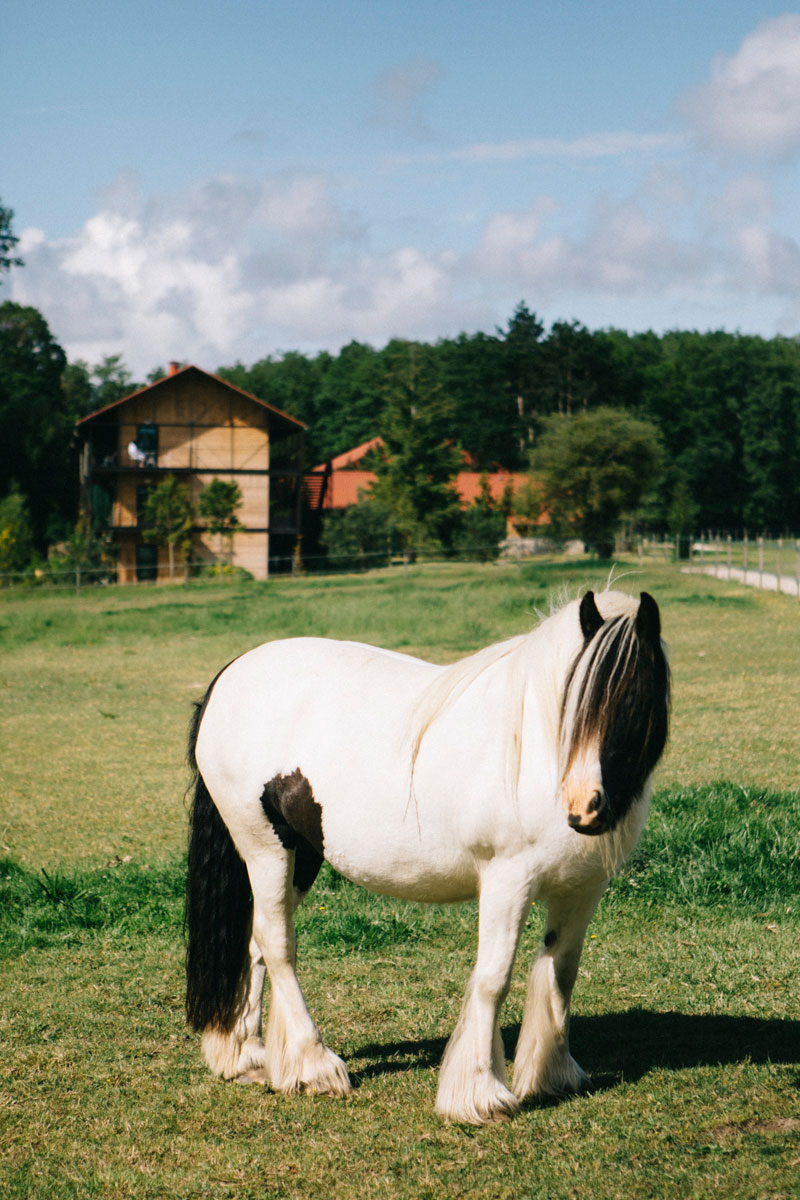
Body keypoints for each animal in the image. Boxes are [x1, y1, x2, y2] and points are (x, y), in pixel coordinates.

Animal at [184, 588, 669, 1124]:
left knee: (253, 942)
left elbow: (561, 972)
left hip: (299, 855)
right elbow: (493, 978)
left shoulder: (581, 890)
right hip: (266, 849)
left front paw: (554, 1075)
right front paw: (480, 1093)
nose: (585, 808)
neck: (537, 753)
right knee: (277, 946)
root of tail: (230, 676)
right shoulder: (507, 881)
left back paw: (246, 1057)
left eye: (636, 698)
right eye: (574, 698)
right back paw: (316, 1065)